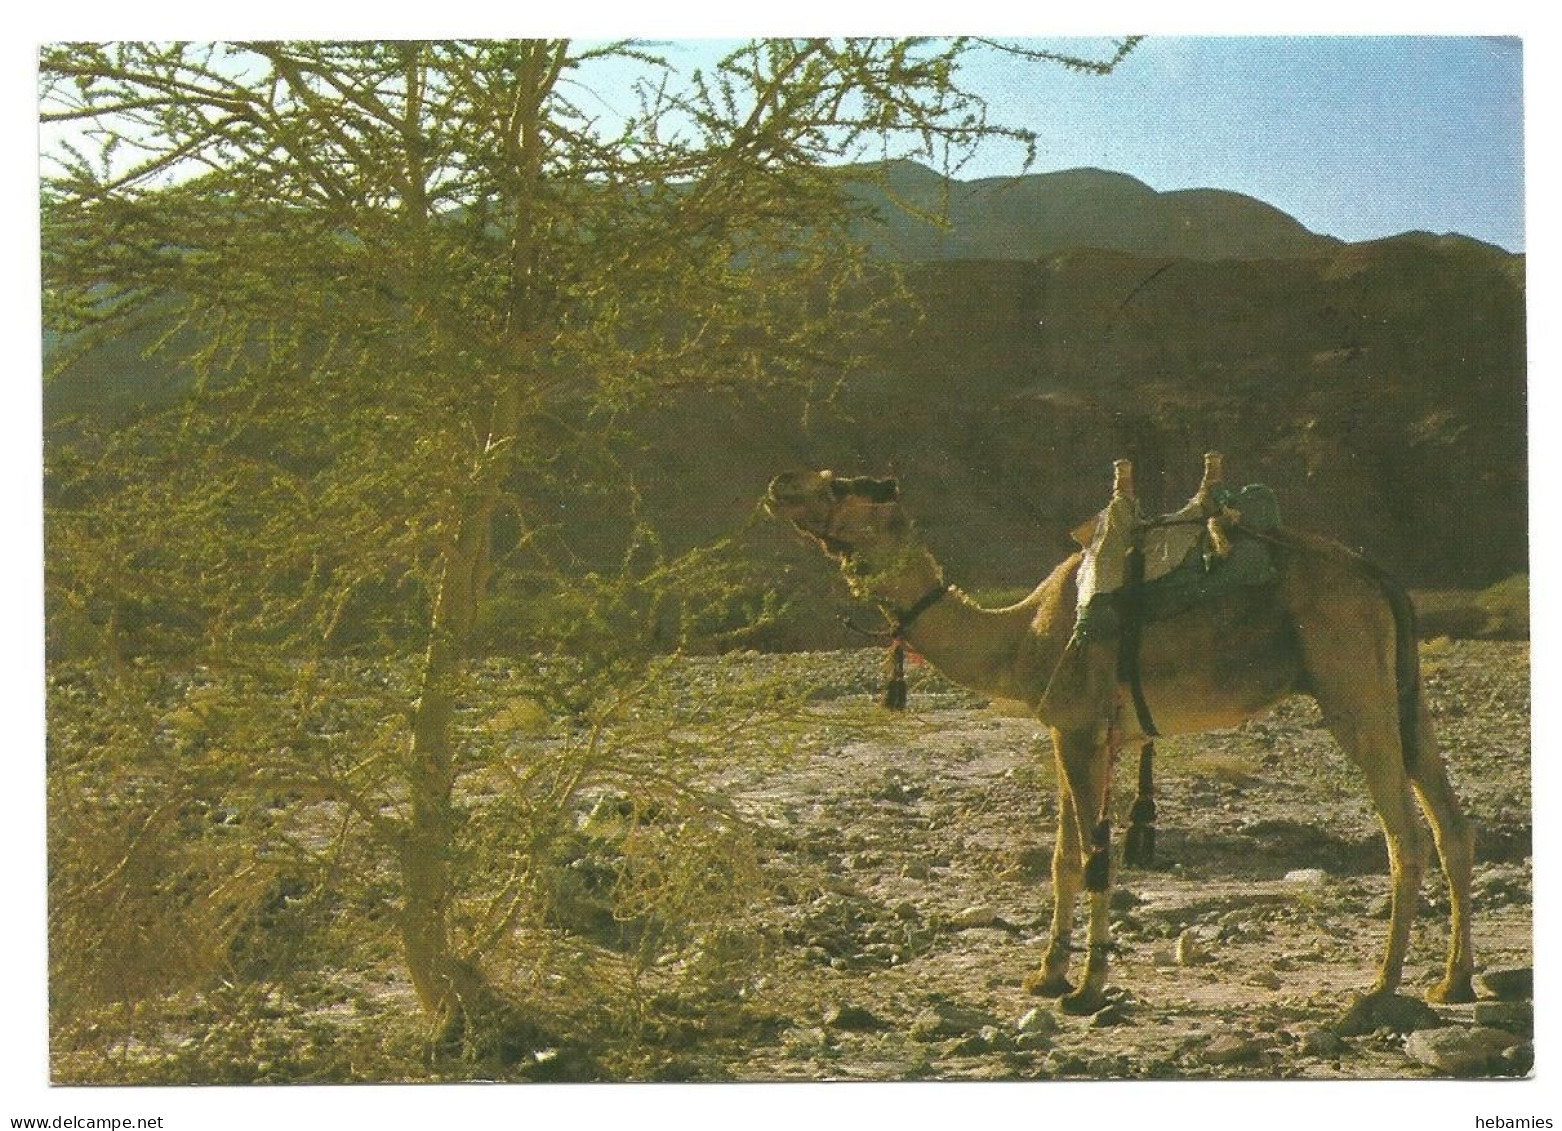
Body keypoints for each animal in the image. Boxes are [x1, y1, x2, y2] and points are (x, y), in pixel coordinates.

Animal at [768, 462, 1474, 1018]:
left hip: (1350, 684)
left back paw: (1378, 989)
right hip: (1403, 693)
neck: (1020, 637)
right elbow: (1062, 858)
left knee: (1403, 833)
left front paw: (1087, 987)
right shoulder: (1079, 734)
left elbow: (1094, 860)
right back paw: (1453, 983)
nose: (781, 484)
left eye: (847, 484)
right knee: (1449, 821)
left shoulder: (1080, 731)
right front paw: (1046, 975)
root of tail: (1379, 578)